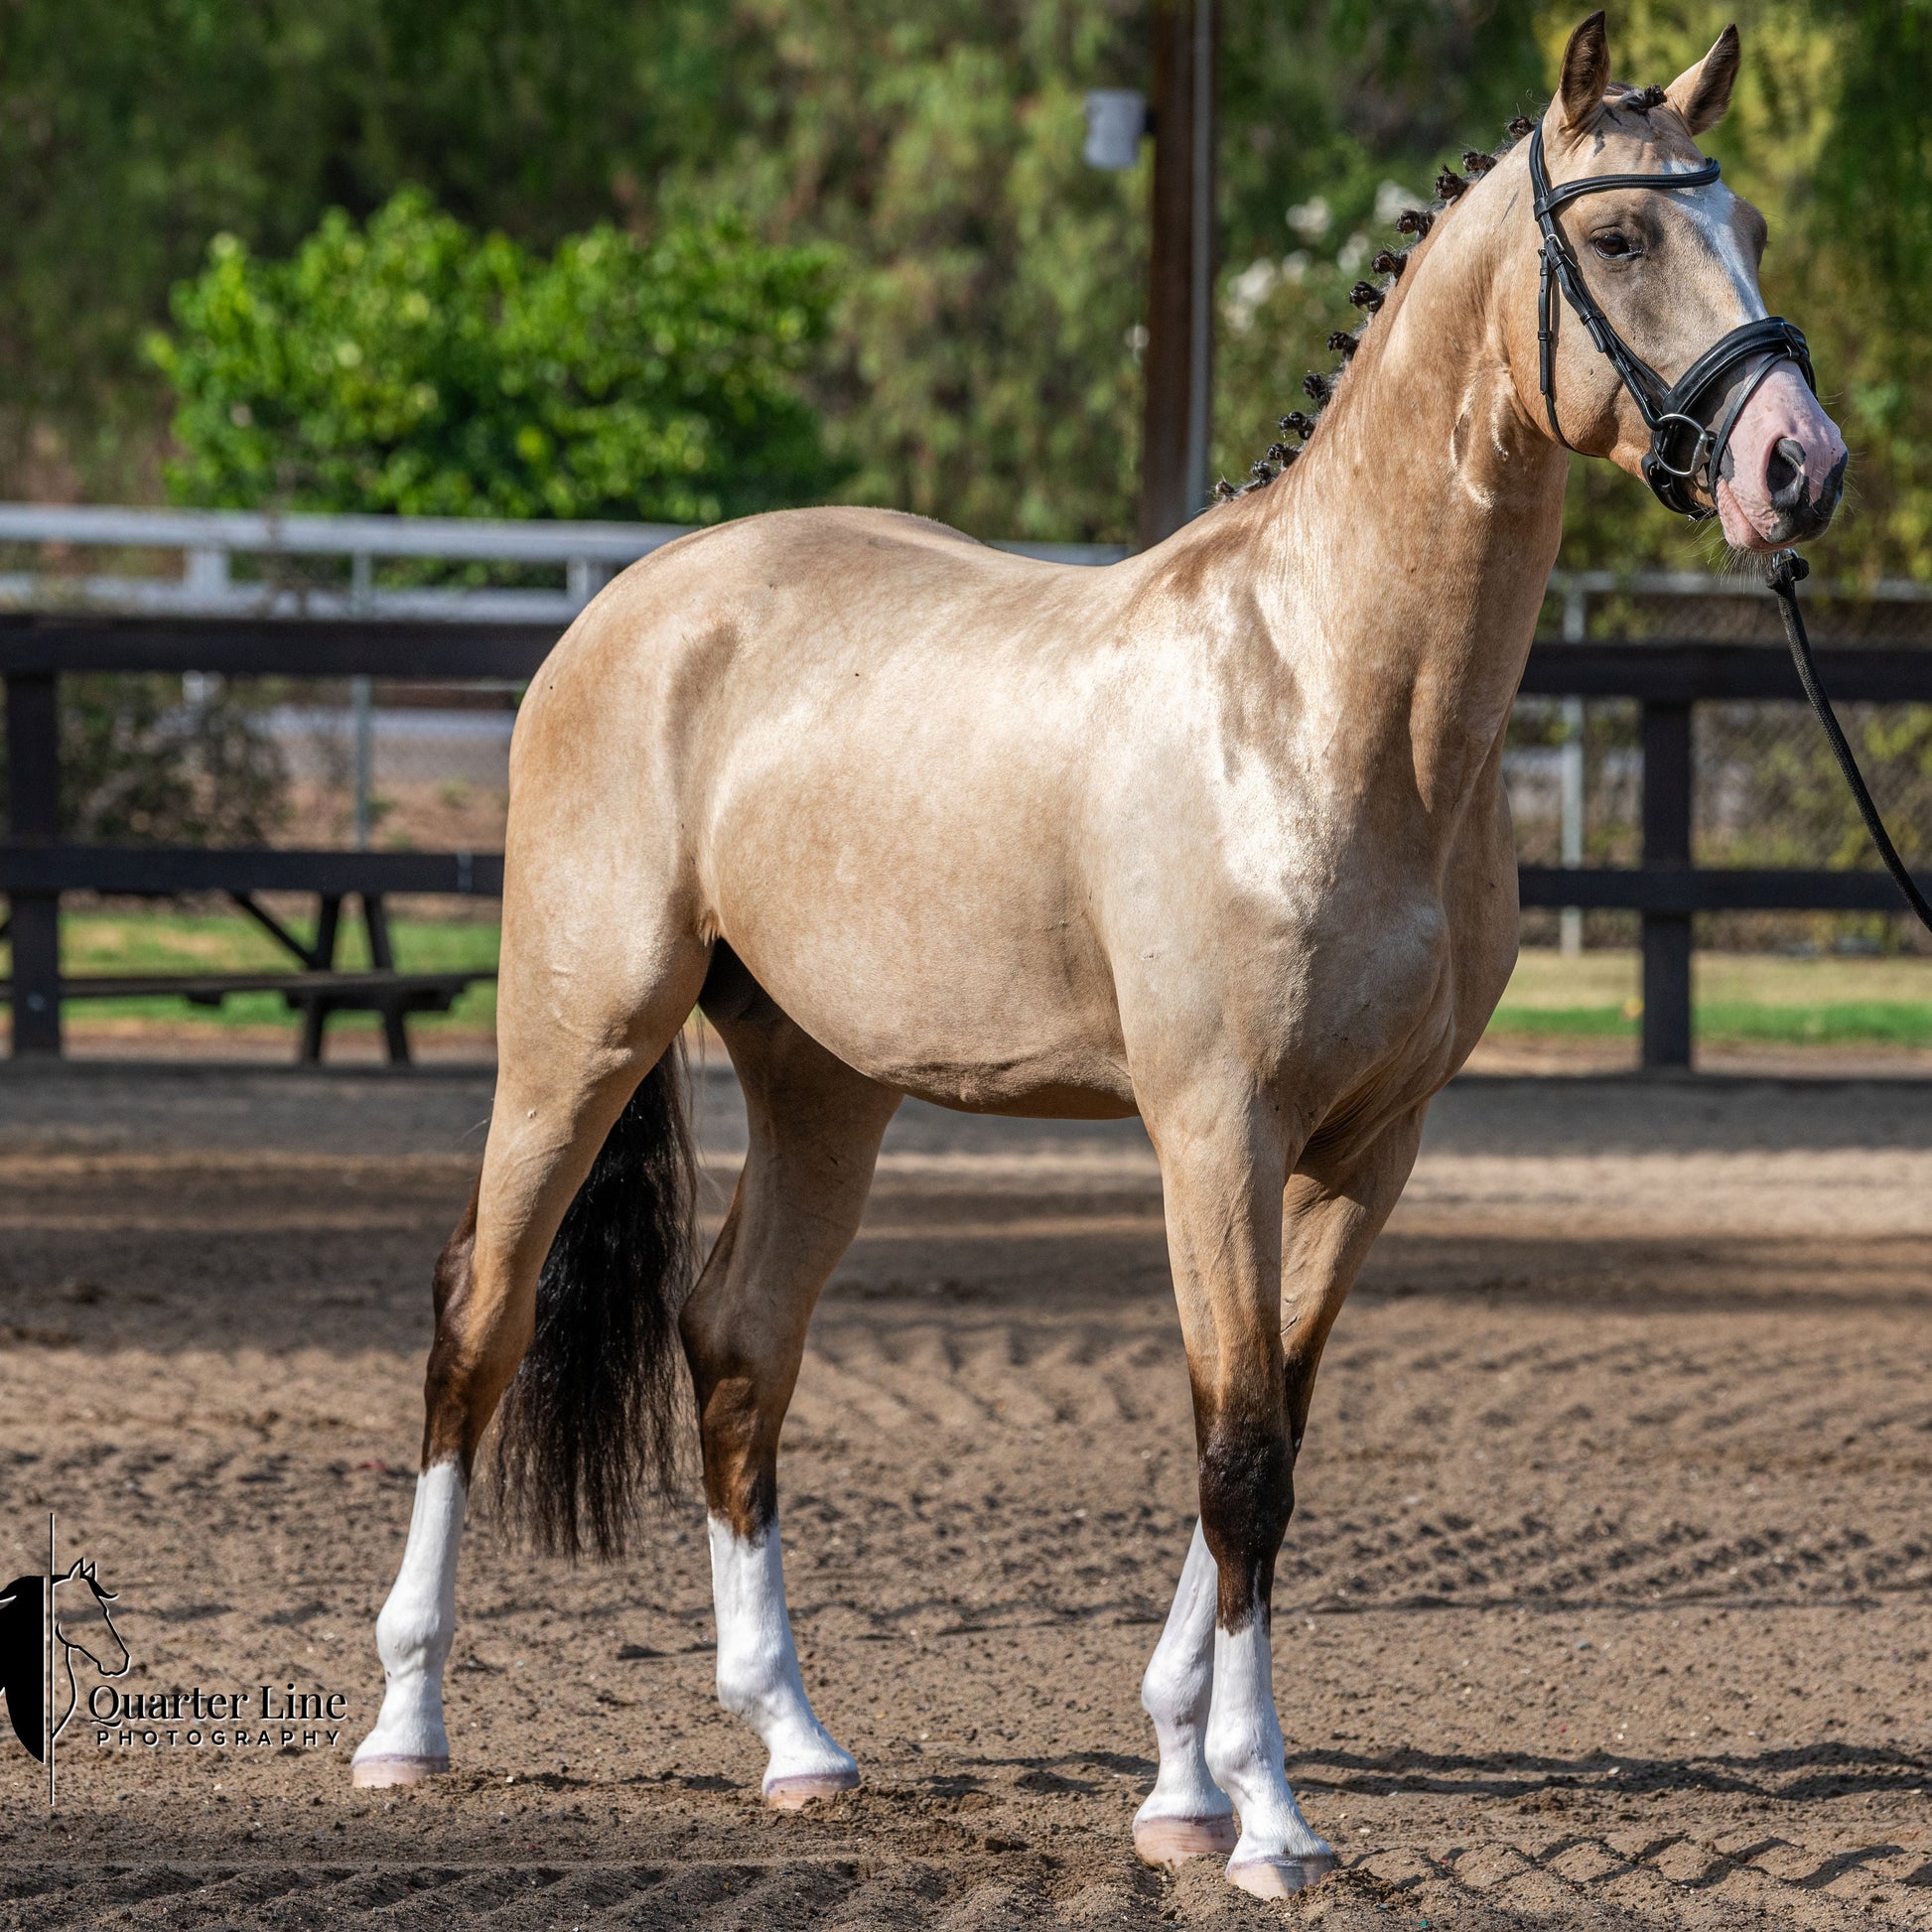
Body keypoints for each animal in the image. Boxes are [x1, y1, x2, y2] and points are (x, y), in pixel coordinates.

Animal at [352, 13, 1846, 1900]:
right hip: (580, 1030)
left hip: (823, 1085)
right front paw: (1263, 1819)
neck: (1328, 694)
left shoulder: (1369, 1147)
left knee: (737, 1337)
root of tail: (635, 602)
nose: (1799, 466)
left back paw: (796, 1746)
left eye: (1759, 230)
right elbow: (1241, 1449)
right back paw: (404, 1728)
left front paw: (1181, 1782)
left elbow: (1274, 1425)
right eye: (1628, 235)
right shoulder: (1214, 1128)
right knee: (476, 1313)